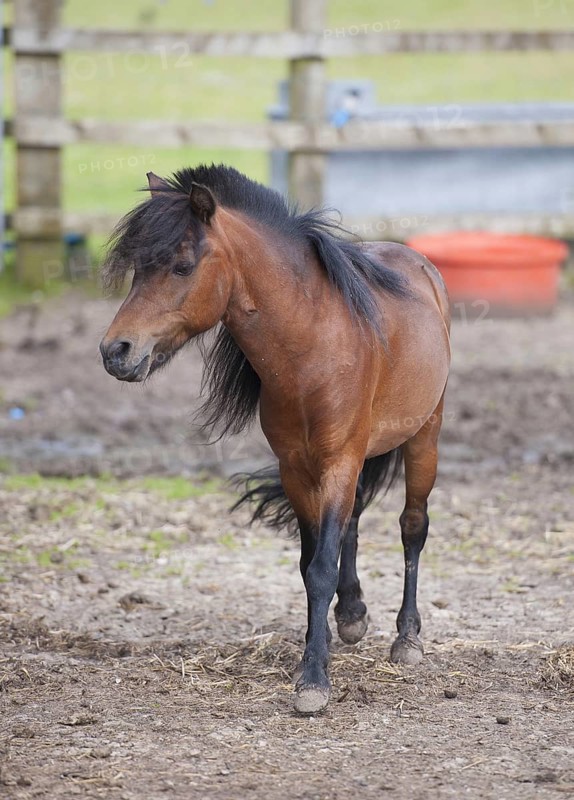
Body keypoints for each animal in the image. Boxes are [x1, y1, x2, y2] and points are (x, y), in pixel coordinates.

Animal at [100, 165, 451, 715]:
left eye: (182, 266)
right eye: (138, 268)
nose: (116, 350)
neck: (312, 346)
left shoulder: (339, 460)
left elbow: (323, 566)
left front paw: (314, 682)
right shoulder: (296, 467)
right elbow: (311, 565)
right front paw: (316, 649)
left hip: (423, 438)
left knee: (412, 527)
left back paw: (407, 638)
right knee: (353, 520)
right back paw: (352, 616)